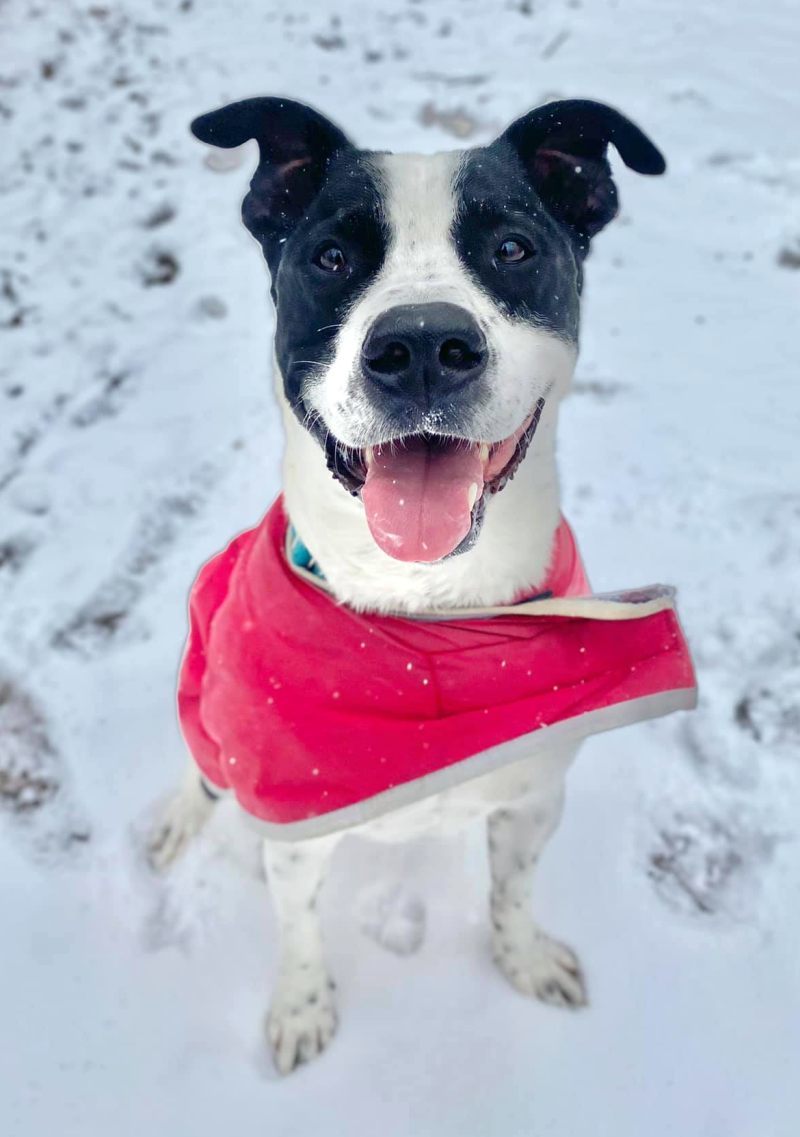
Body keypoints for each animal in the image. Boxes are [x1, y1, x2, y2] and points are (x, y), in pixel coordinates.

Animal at [146, 93, 663, 1068]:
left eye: (513, 248)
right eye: (331, 257)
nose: (423, 344)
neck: (429, 620)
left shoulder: (532, 798)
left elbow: (512, 890)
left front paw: (523, 958)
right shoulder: (294, 830)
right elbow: (300, 928)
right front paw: (302, 1005)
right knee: (200, 772)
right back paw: (172, 822)